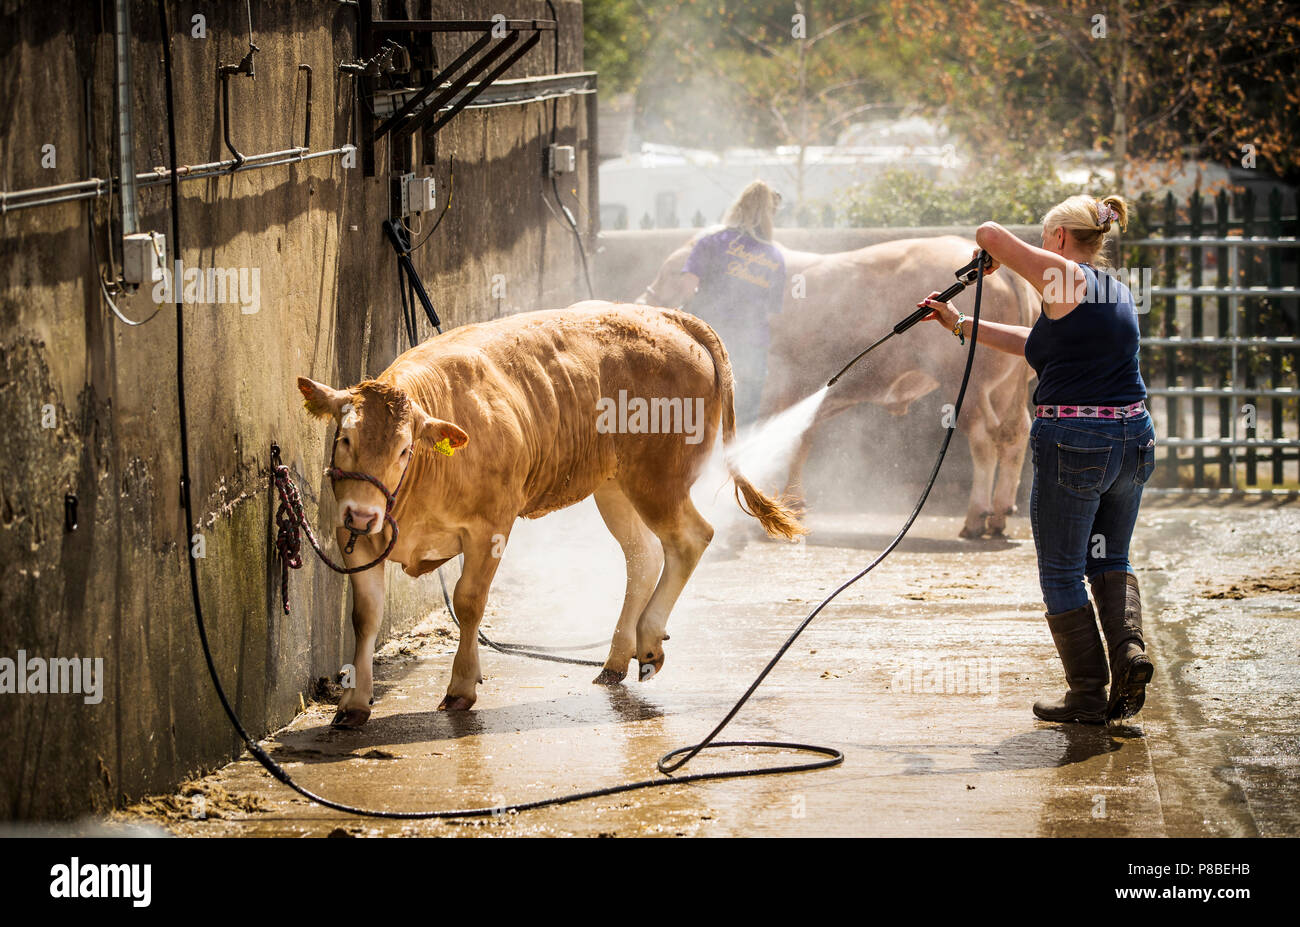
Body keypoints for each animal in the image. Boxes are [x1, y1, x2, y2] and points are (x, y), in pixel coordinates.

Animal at [296, 301, 800, 722]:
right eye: (344, 439)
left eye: (404, 450)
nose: (363, 516)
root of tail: (666, 316)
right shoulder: (355, 541)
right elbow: (366, 615)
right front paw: (353, 703)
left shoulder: (490, 528)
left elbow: (469, 602)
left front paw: (461, 687)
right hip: (615, 487)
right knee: (643, 557)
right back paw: (617, 658)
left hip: (661, 481)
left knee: (691, 539)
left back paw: (649, 642)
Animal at [639, 231, 1034, 535]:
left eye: (670, 272)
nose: (644, 300)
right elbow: (799, 442)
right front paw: (794, 504)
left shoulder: (776, 387)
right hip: (1005, 387)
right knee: (1016, 434)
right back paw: (1000, 514)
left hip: (965, 383)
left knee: (984, 441)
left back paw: (976, 518)